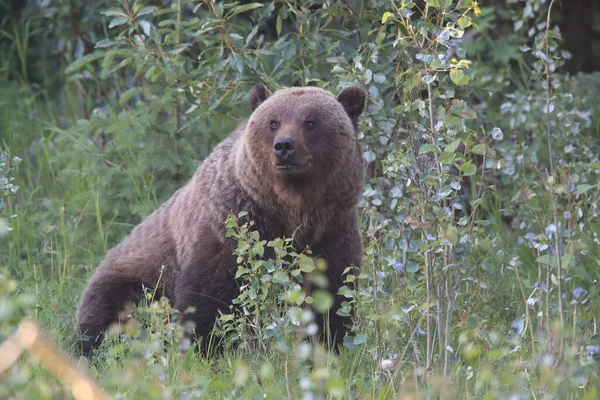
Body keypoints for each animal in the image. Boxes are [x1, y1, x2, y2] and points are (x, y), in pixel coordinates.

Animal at [75, 83, 366, 354]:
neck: (290, 209)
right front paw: (202, 345)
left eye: (310, 122)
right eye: (273, 121)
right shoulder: (229, 225)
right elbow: (208, 296)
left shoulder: (332, 229)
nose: (284, 146)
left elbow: (332, 292)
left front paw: (332, 340)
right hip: (134, 278)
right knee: (112, 313)